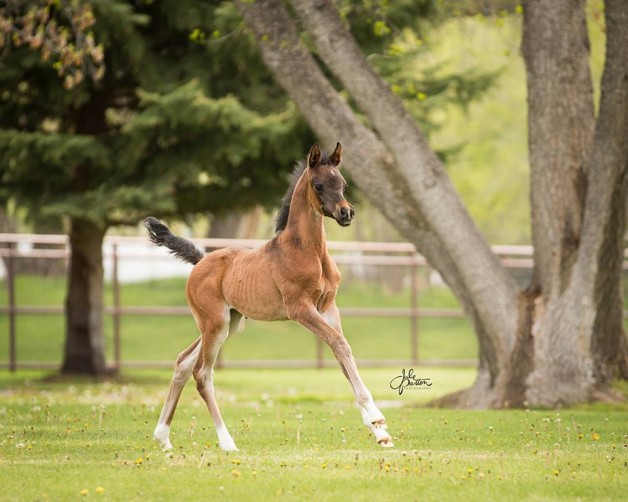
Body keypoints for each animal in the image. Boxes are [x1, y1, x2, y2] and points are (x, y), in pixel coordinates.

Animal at [145, 142, 394, 452]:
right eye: (318, 185)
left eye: (343, 184)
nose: (346, 213)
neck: (307, 251)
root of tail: (200, 261)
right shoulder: (301, 309)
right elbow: (339, 344)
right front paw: (376, 419)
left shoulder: (328, 308)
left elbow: (341, 352)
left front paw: (380, 432)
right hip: (215, 325)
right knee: (202, 373)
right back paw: (227, 442)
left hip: (229, 323)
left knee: (182, 362)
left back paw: (163, 438)